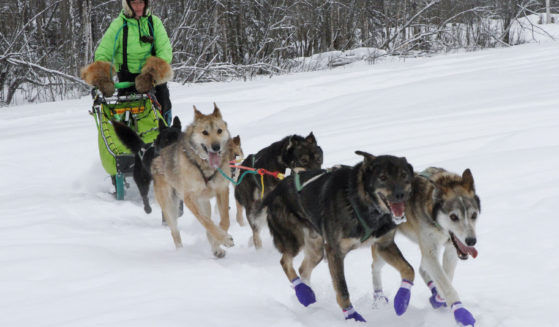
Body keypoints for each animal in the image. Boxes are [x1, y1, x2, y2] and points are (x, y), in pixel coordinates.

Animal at [150, 104, 235, 258]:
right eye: (205, 132)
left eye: (219, 131)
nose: (216, 147)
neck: (205, 166)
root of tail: (161, 155)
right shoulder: (189, 198)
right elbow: (205, 221)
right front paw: (223, 238)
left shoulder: (222, 190)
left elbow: (224, 220)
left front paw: (218, 241)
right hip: (170, 208)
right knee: (175, 232)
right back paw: (181, 252)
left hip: (204, 203)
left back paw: (215, 248)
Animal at [262, 152, 416, 322]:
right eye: (382, 177)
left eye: (404, 175)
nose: (400, 194)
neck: (359, 203)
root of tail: (276, 190)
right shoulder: (335, 252)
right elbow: (342, 288)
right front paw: (352, 316)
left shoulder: (384, 245)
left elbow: (409, 270)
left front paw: (402, 299)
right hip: (294, 241)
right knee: (285, 261)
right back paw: (302, 292)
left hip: (317, 249)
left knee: (303, 269)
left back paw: (308, 294)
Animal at [372, 168, 482, 326]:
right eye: (453, 217)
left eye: (473, 215)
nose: (471, 241)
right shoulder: (430, 251)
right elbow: (447, 285)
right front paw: (461, 313)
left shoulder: (450, 249)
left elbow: (447, 276)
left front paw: (438, 298)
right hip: (384, 246)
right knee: (374, 265)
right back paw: (378, 297)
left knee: (421, 268)